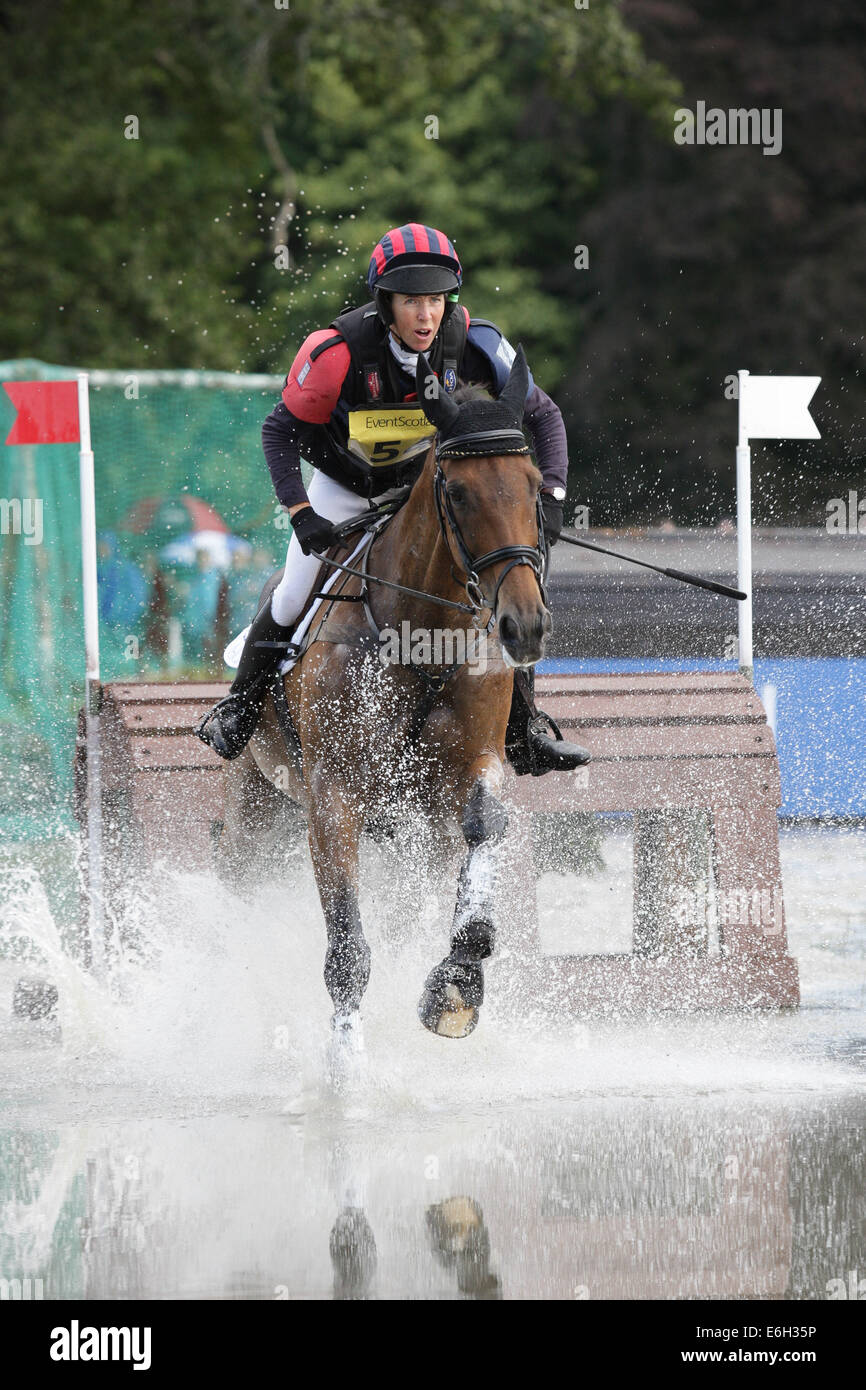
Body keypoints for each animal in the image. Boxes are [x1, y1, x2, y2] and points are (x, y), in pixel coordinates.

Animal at [219, 344, 553, 1050]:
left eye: (536, 486)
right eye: (458, 492)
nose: (524, 626)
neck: (421, 639)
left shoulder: (472, 769)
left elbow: (483, 830)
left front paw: (458, 981)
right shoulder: (334, 799)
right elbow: (348, 952)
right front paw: (346, 1067)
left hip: (409, 832)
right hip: (259, 811)